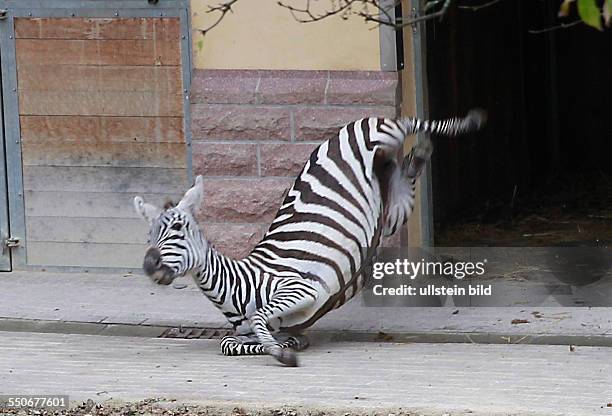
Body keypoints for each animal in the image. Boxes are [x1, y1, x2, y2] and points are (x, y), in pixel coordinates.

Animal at [135, 109, 488, 366]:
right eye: (150, 234)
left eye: (178, 229)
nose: (150, 266)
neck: (239, 286)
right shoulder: (248, 331)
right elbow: (230, 342)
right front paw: (286, 344)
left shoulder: (299, 289)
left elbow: (261, 318)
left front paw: (283, 352)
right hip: (392, 210)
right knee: (407, 171)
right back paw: (422, 150)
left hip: (380, 136)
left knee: (406, 123)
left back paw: (457, 125)